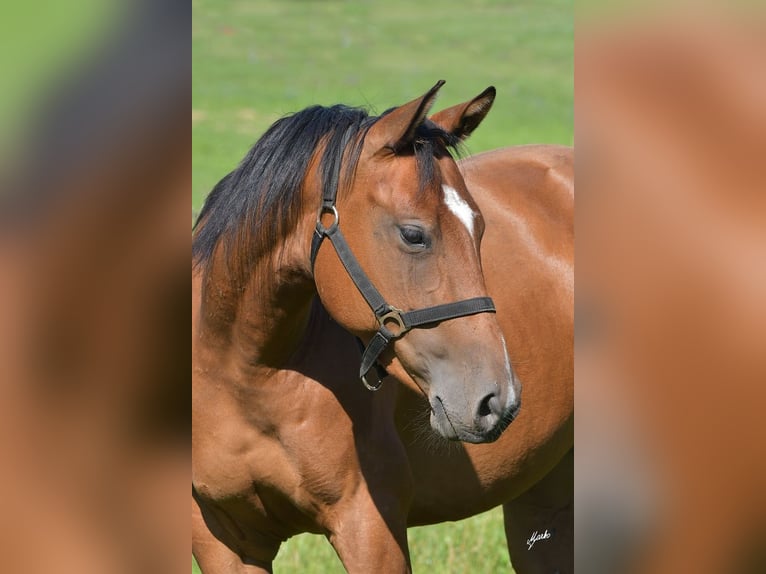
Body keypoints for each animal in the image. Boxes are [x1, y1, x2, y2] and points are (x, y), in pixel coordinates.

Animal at [195, 82, 572, 574]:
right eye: (413, 234)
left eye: (481, 228)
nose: (497, 400)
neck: (243, 372)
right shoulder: (223, 539)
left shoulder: (371, 529)